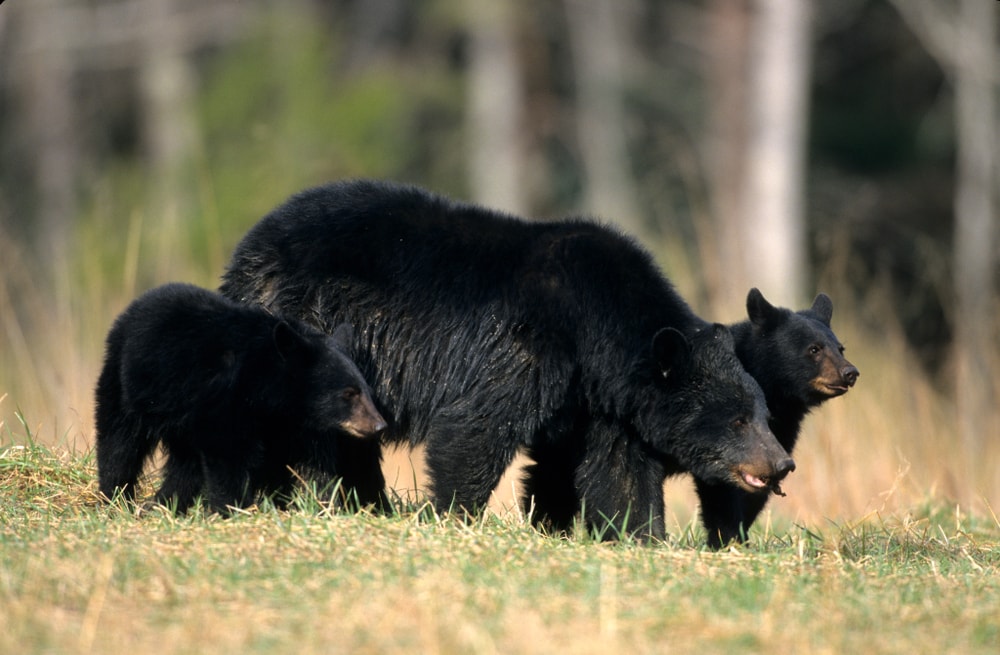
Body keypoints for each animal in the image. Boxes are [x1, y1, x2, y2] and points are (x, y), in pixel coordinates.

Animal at [95, 282, 387, 513]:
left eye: (368, 392)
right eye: (348, 394)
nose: (378, 425)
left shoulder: (279, 424)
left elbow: (277, 463)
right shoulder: (225, 399)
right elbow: (228, 454)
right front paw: (234, 508)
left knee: (185, 462)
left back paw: (164, 503)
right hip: (125, 382)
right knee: (120, 440)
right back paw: (116, 496)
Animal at [219, 179, 795, 539]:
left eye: (764, 415)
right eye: (738, 420)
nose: (781, 463)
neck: (598, 332)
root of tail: (246, 248)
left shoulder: (600, 402)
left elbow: (618, 470)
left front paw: (639, 536)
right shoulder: (529, 343)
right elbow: (476, 426)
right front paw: (452, 514)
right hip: (308, 325)